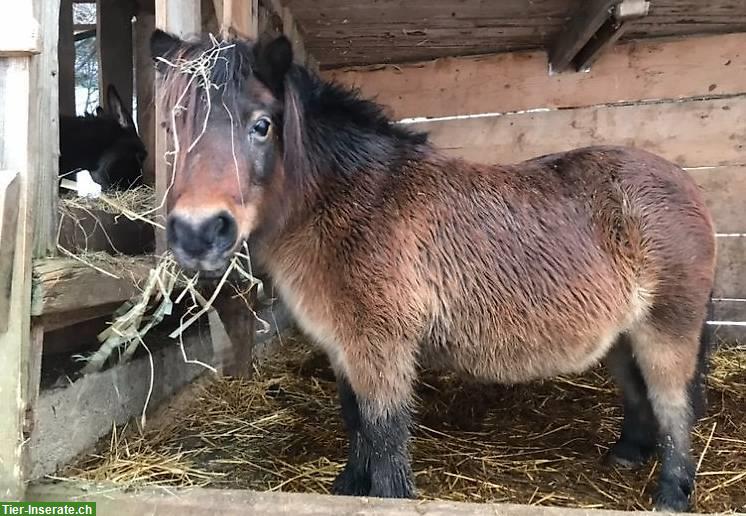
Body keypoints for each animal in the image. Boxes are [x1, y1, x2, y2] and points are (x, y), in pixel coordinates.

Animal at [150, 31, 716, 512]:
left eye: (262, 125)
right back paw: (628, 454)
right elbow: (356, 420)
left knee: (673, 404)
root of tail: (686, 183)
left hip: (667, 331)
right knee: (639, 394)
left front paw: (386, 495)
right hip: (624, 335)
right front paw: (349, 486)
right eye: (173, 128)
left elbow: (384, 435)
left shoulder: (381, 348)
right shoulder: (343, 346)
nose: (199, 232)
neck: (350, 203)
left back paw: (672, 494)